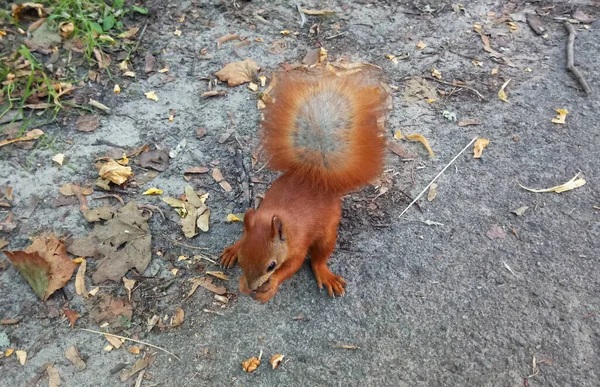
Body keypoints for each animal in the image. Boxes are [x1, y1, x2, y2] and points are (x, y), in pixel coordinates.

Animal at [220, 67, 390, 304]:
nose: (252, 286)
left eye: (271, 266)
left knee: (318, 259)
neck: (275, 217)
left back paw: (325, 274)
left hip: (328, 231)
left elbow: (294, 264)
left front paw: (270, 286)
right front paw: (240, 272)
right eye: (244, 257)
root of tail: (313, 176)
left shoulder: (298, 245)